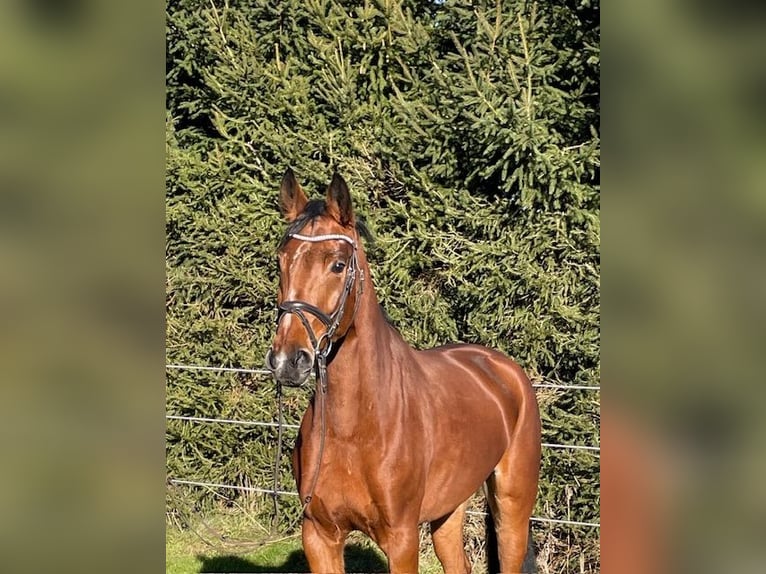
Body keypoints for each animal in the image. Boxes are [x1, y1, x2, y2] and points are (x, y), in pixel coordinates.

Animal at [268, 171, 544, 574]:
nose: (288, 360)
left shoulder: (401, 540)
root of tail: (503, 370)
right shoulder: (319, 535)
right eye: (281, 261)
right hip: (450, 509)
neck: (354, 429)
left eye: (338, 264)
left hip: (512, 509)